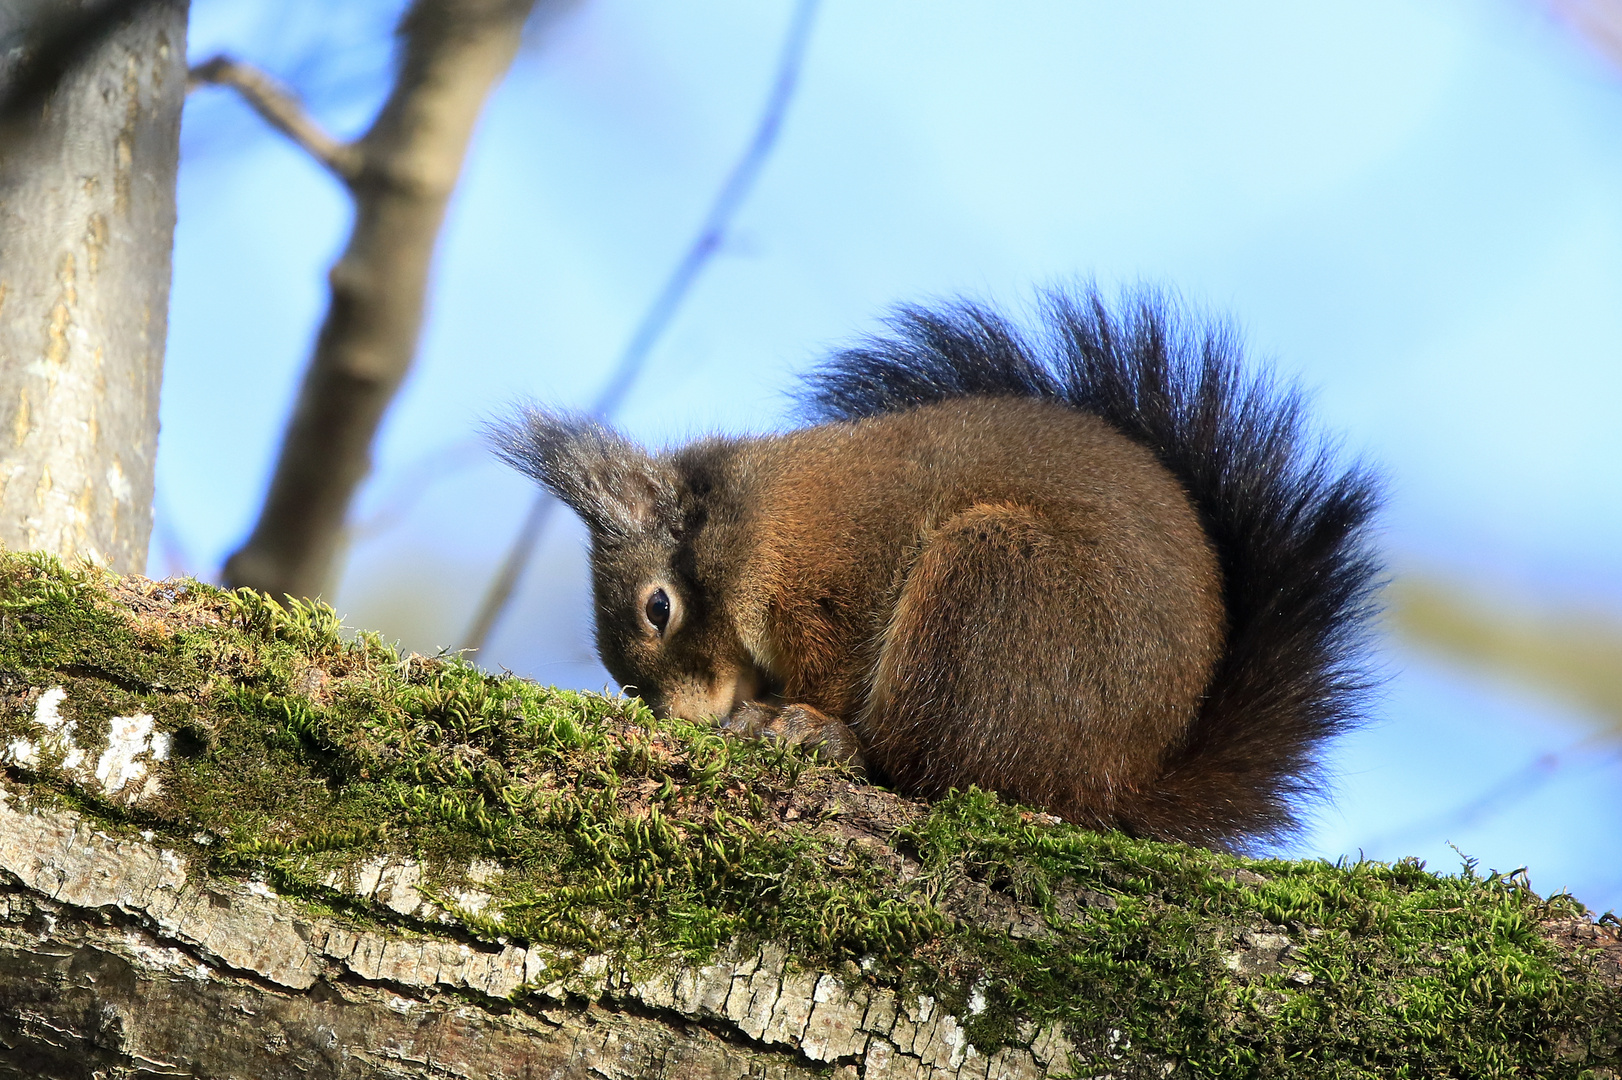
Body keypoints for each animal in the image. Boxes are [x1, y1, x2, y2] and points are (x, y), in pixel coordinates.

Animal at [493, 290, 1381, 843]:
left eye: (658, 609)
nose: (682, 719)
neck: (751, 522)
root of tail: (1115, 777)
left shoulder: (828, 584)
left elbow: (835, 665)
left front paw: (801, 716)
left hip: (986, 591)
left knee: (927, 765)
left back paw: (830, 739)